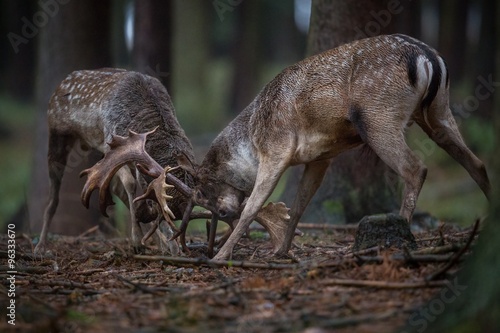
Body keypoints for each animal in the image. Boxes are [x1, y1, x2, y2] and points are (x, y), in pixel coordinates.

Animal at [34, 68, 194, 253]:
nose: (144, 215)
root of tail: (60, 85)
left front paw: (169, 247)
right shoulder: (114, 144)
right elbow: (130, 184)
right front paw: (137, 241)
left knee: (114, 186)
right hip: (57, 135)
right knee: (53, 196)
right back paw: (40, 245)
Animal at [178, 33, 490, 260]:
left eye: (204, 189)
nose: (223, 213)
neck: (253, 138)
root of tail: (429, 58)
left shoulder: (277, 148)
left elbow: (253, 206)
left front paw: (220, 257)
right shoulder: (320, 158)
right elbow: (299, 204)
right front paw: (281, 252)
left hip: (378, 117)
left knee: (416, 168)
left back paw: (400, 233)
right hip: (438, 112)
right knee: (477, 164)